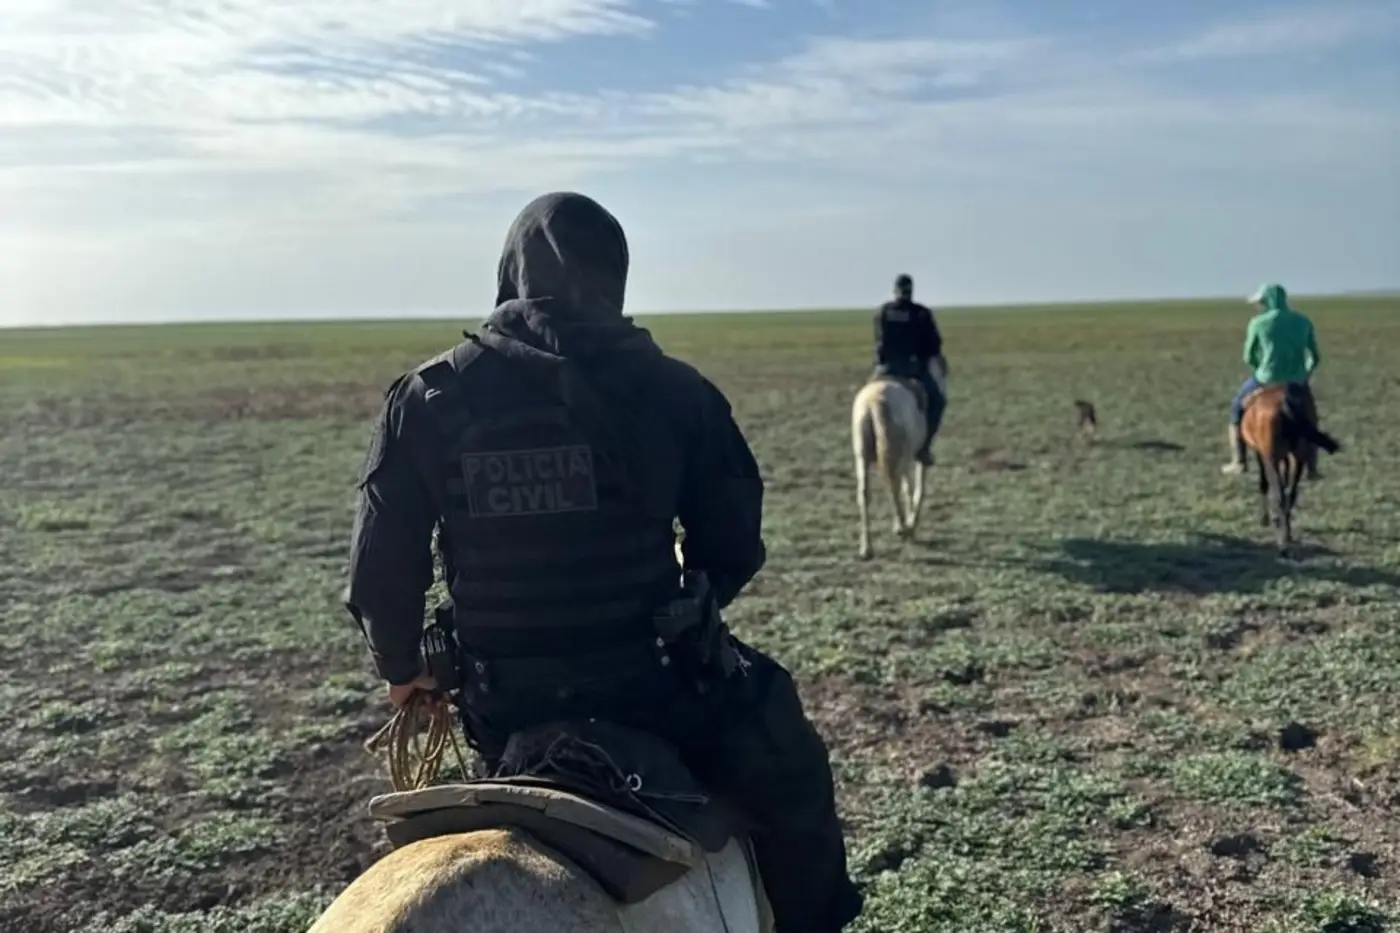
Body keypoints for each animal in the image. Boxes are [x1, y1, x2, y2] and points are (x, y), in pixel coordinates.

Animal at [851, 355, 947, 559]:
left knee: (864, 494)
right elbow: (916, 489)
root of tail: (873, 402)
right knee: (896, 487)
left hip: (862, 457)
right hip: (899, 457)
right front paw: (911, 524)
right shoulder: (916, 457)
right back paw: (903, 529)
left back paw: (867, 548)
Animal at [1237, 382, 1340, 555]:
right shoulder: (1286, 457)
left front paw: (1265, 519)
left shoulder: (1261, 455)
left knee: (1279, 495)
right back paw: (1287, 534)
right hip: (1297, 457)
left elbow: (1264, 484)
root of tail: (1285, 404)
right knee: (1291, 493)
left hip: (1272, 459)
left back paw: (1282, 545)